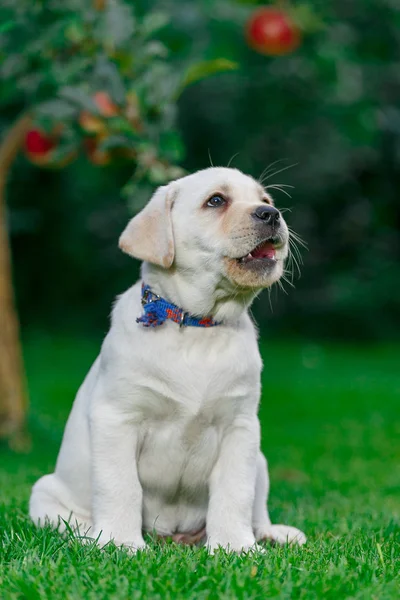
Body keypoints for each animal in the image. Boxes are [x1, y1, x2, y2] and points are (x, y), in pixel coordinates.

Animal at [29, 166, 306, 552]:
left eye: (265, 200)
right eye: (216, 200)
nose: (272, 214)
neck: (197, 327)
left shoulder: (240, 426)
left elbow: (235, 492)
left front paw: (236, 547)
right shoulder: (117, 418)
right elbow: (121, 487)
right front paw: (121, 544)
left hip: (261, 460)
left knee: (257, 507)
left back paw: (273, 532)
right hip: (44, 494)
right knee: (67, 523)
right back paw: (89, 538)